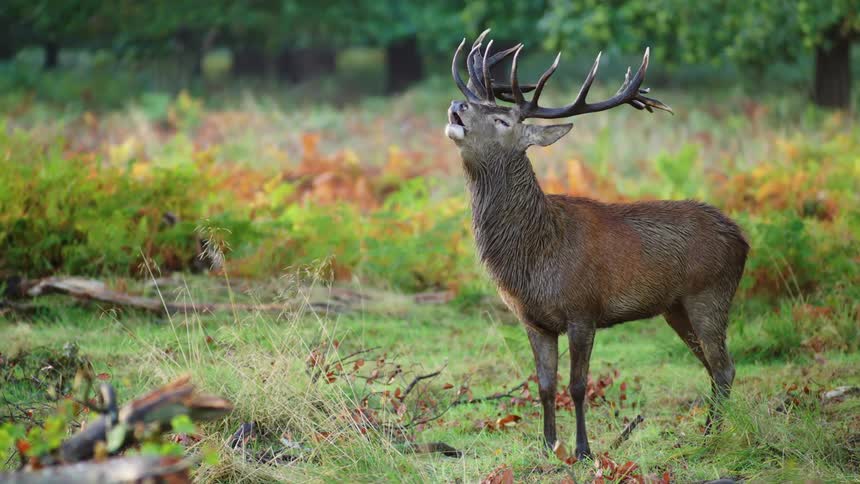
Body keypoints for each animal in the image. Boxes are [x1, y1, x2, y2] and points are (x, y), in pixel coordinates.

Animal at [445, 30, 748, 459]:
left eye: (502, 119)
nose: (458, 105)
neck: (537, 253)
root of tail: (742, 238)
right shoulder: (533, 320)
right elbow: (544, 385)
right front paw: (548, 446)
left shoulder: (583, 309)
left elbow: (577, 385)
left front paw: (584, 450)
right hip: (676, 307)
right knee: (711, 365)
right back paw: (707, 433)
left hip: (711, 293)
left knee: (724, 366)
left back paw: (711, 439)